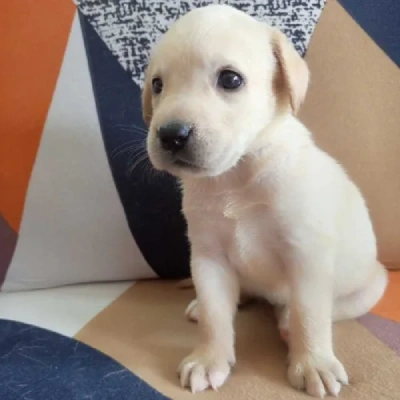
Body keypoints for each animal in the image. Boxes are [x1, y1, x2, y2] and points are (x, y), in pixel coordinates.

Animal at [141, 4, 388, 398]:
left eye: (230, 79)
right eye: (158, 85)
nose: (170, 134)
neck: (236, 175)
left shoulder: (306, 255)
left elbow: (310, 315)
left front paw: (313, 363)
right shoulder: (208, 257)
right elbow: (215, 315)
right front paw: (209, 358)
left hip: (368, 286)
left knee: (317, 310)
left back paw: (287, 321)